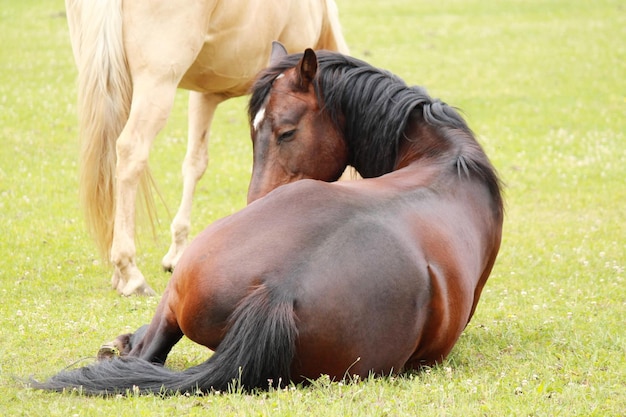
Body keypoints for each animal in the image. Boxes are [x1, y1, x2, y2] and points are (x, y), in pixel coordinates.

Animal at [66, 0, 348, 296]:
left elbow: (195, 163)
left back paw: (118, 274)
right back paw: (130, 272)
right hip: (156, 85)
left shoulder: (205, 96)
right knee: (131, 153)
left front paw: (177, 253)